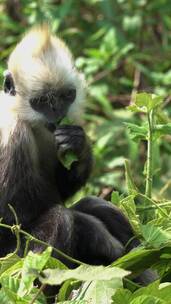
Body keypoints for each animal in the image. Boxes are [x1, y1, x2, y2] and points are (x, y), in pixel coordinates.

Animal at [0, 24, 157, 288]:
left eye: (67, 96)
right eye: (41, 101)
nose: (57, 114)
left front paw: (78, 145)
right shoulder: (13, 133)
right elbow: (15, 213)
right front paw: (95, 234)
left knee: (94, 203)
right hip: (12, 263)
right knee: (61, 218)